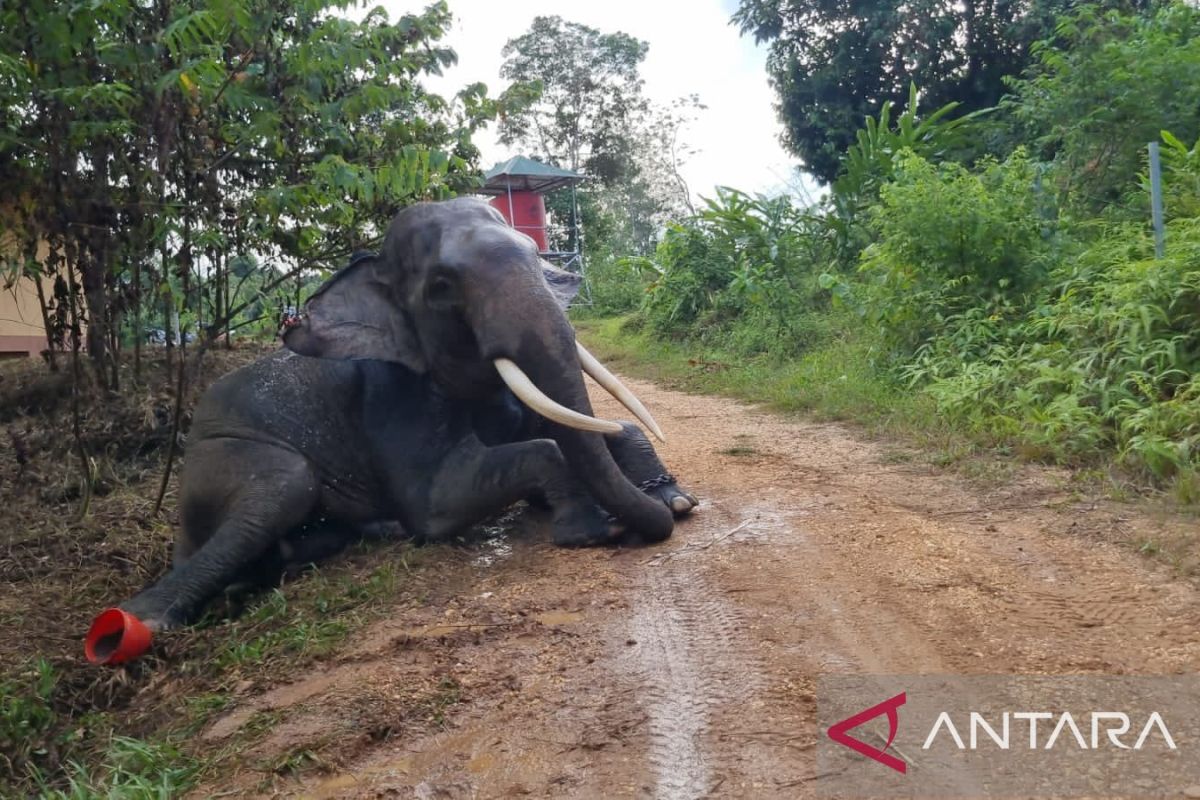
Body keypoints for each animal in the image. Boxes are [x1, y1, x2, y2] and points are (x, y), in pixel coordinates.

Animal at [84, 196, 700, 666]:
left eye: (536, 258)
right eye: (442, 286)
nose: (651, 521)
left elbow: (588, 424)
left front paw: (677, 501)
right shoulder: (393, 398)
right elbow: (441, 499)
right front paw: (591, 530)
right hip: (222, 453)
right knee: (286, 482)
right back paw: (136, 625)